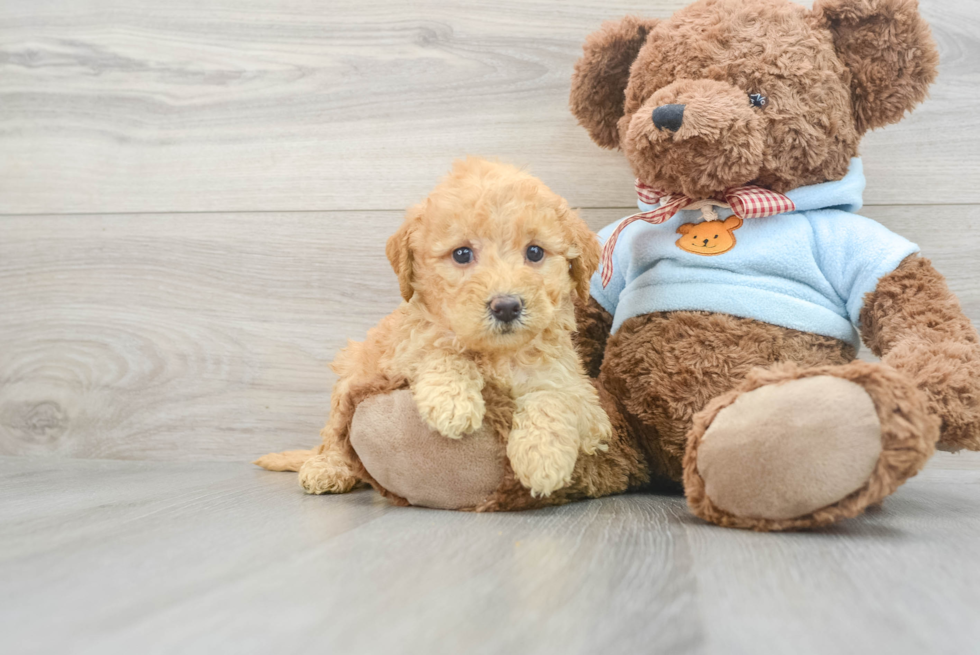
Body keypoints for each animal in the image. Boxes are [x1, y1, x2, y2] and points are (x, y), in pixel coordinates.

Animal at [264, 159, 608, 498]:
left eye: (535, 252)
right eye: (462, 254)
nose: (507, 306)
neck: (496, 354)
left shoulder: (581, 394)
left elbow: (554, 396)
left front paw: (543, 459)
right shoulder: (404, 353)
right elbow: (440, 350)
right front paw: (453, 402)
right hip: (351, 380)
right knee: (335, 436)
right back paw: (328, 469)